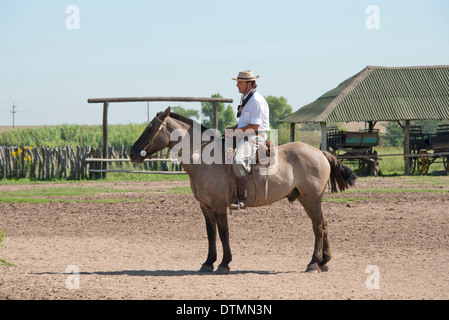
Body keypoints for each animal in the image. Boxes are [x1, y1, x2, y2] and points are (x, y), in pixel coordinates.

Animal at [130, 106, 356, 274]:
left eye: (151, 128)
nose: (132, 153)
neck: (204, 158)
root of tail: (319, 152)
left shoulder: (219, 205)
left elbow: (223, 233)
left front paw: (224, 264)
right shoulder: (205, 206)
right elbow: (211, 233)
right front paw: (208, 263)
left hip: (312, 199)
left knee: (318, 227)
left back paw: (313, 263)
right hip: (305, 199)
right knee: (323, 224)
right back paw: (324, 262)